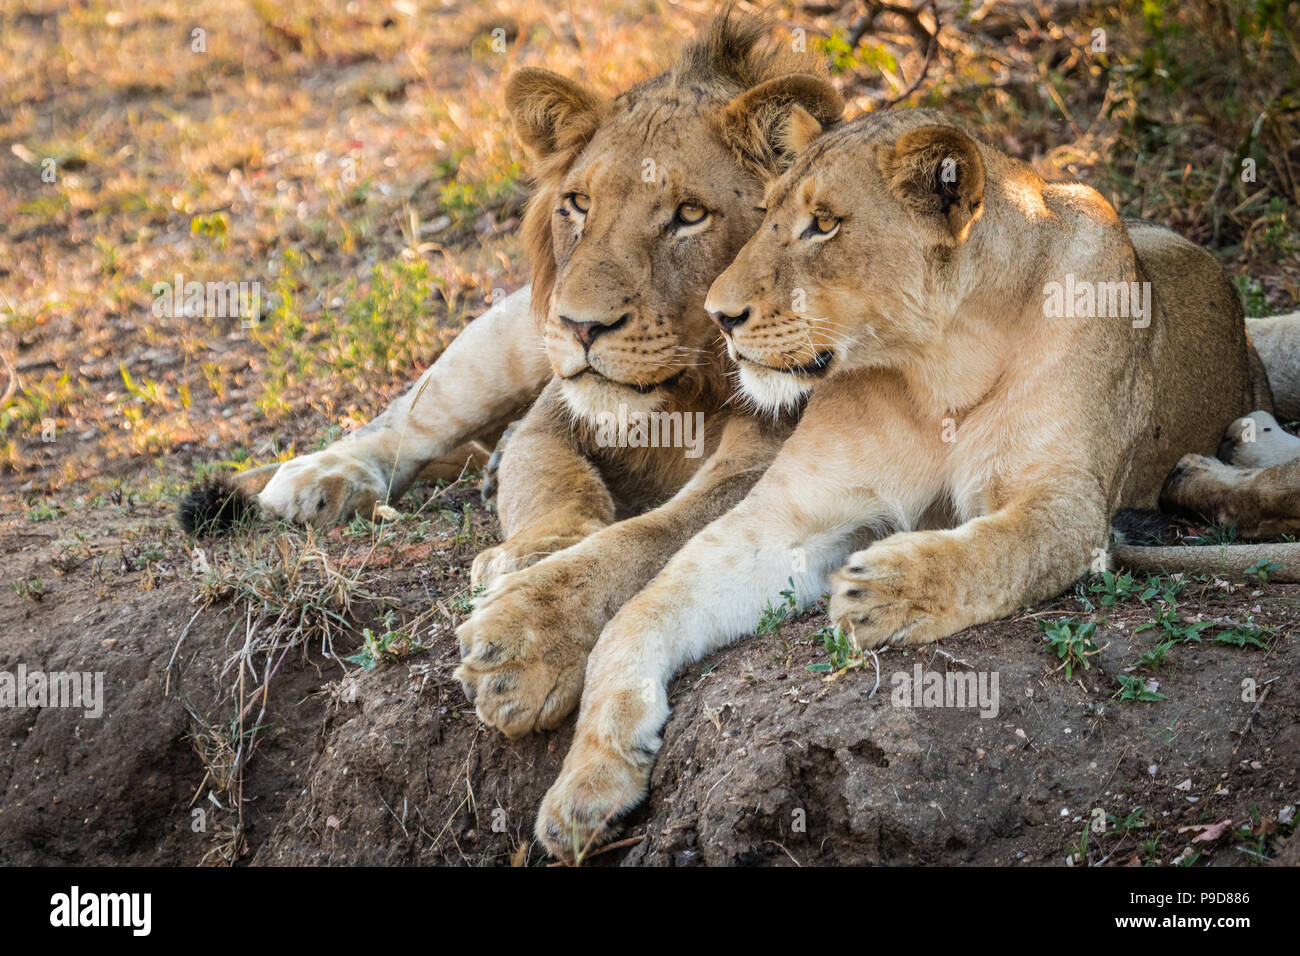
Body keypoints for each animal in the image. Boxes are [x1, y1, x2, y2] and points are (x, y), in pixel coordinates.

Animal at [525, 104, 1300, 858]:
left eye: (825, 224)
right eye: (767, 213)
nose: (721, 316)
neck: (938, 369)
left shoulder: (1068, 505)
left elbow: (999, 548)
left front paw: (887, 589)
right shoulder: (791, 516)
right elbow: (647, 606)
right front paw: (591, 772)